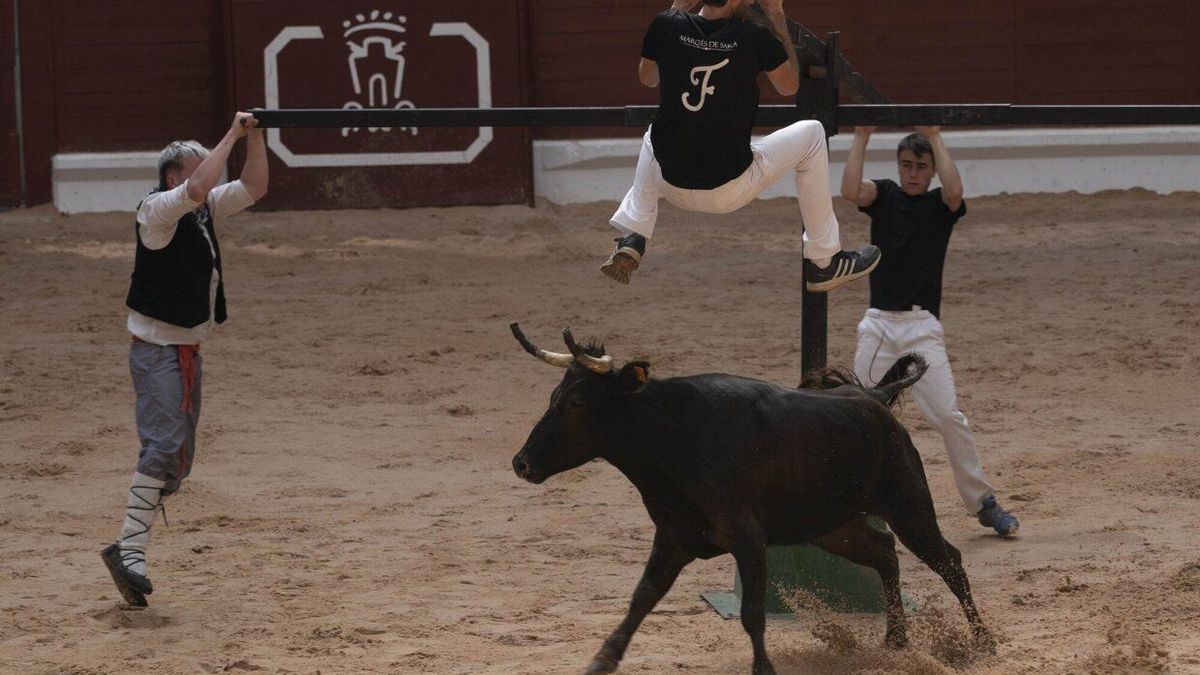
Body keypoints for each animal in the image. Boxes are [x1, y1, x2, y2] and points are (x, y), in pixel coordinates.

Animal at [511, 324, 998, 667]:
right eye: (553, 394)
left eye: (575, 402)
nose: (522, 462)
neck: (674, 436)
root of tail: (874, 396)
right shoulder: (673, 538)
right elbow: (642, 598)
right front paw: (603, 660)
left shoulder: (748, 540)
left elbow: (752, 613)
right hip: (833, 527)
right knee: (885, 553)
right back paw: (895, 640)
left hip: (908, 503)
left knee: (948, 561)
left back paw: (983, 642)